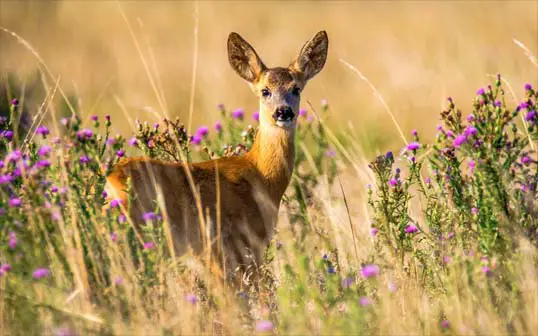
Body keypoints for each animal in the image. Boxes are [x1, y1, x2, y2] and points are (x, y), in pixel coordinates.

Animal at [102, 30, 324, 284]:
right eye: (265, 91)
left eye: (296, 89)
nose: (283, 112)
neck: (261, 176)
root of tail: (111, 183)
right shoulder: (238, 246)